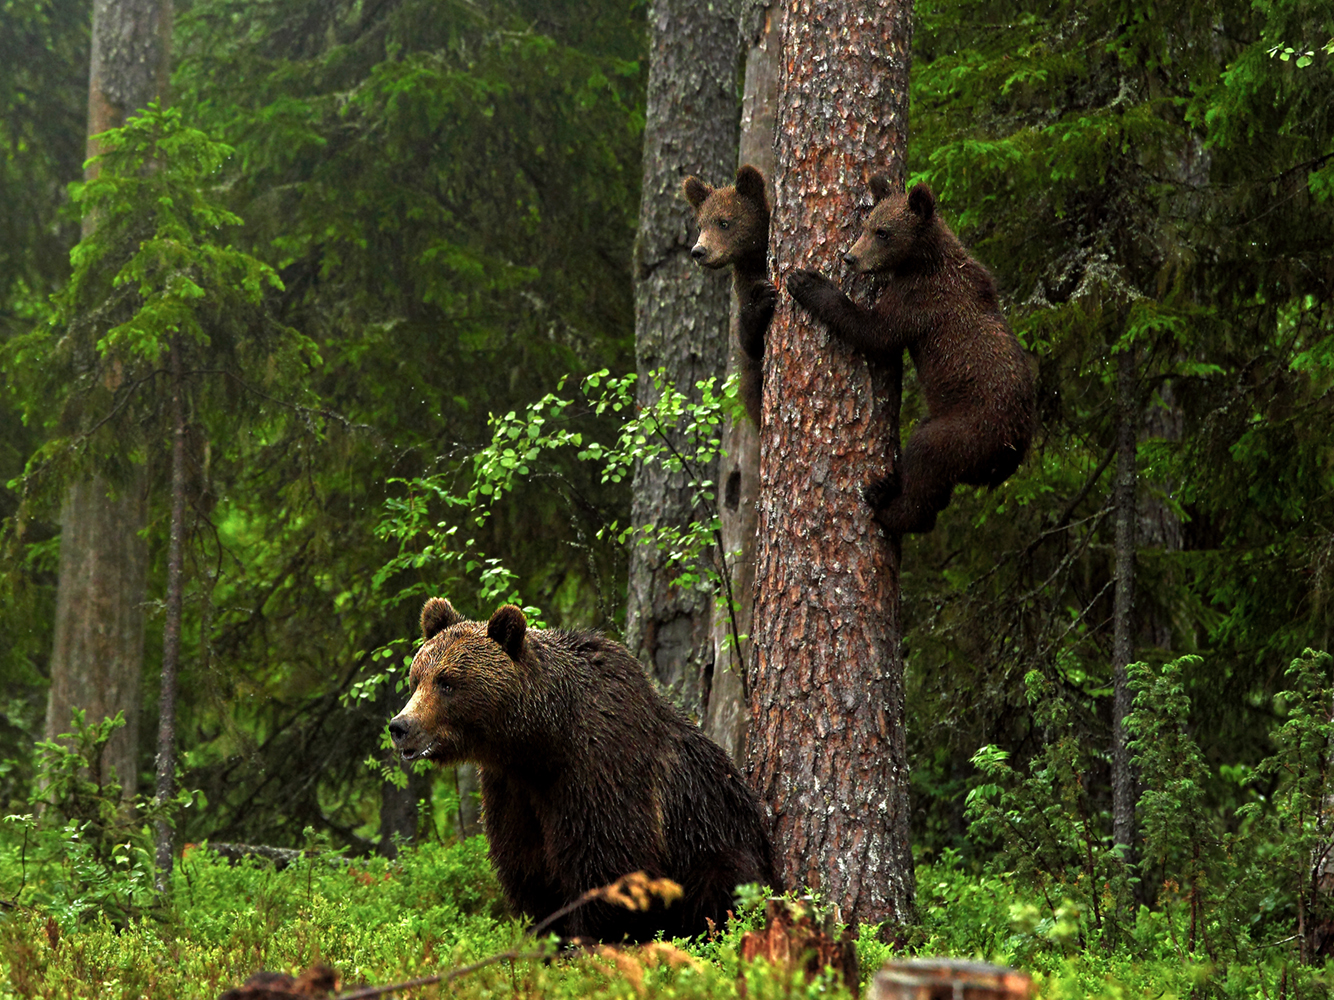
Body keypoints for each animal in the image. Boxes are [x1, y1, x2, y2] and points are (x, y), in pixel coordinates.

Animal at [386, 600, 779, 944]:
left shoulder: (598, 770)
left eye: (447, 682)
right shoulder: (511, 788)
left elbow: (606, 864)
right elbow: (527, 870)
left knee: (723, 888)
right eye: (416, 679)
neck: (542, 743)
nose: (401, 725)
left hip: (711, 836)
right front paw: (548, 940)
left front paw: (588, 943)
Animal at [683, 163, 779, 426]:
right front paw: (761, 299)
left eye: (724, 222)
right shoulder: (745, 280)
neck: (756, 257)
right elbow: (751, 344)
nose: (698, 251)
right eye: (700, 225)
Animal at [784, 180, 1035, 541]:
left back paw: (886, 506)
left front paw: (807, 282)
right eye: (867, 224)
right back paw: (887, 487)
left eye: (883, 232)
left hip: (968, 431)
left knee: (925, 461)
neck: (921, 260)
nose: (850, 258)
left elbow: (875, 333)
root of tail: (1010, 455)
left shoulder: (920, 302)